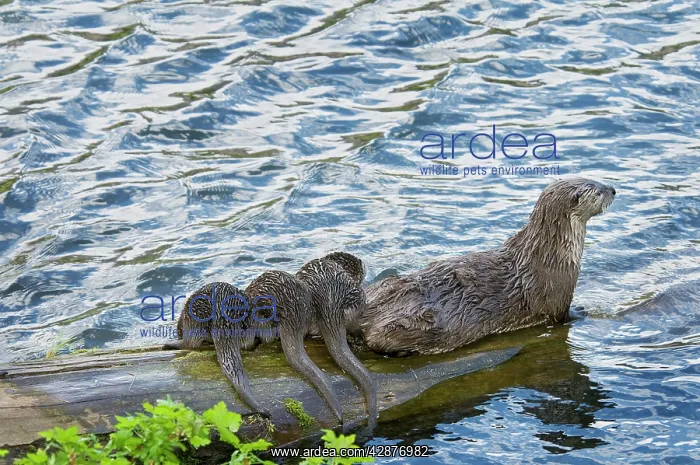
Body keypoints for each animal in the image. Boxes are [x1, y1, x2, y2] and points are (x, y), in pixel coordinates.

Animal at [361, 178, 616, 355]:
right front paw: (582, 311)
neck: (552, 253)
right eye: (598, 190)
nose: (613, 189)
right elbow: (564, 315)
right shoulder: (559, 293)